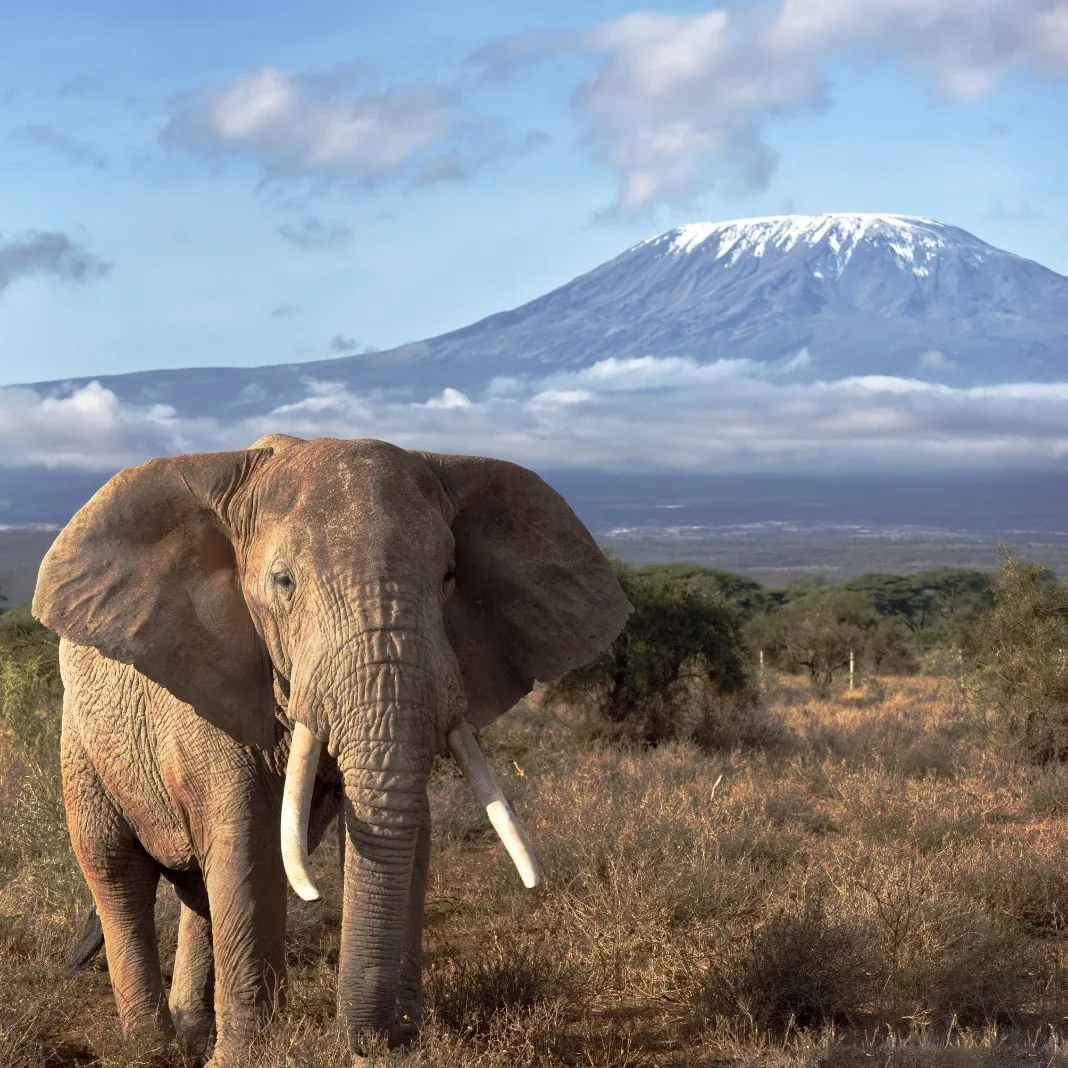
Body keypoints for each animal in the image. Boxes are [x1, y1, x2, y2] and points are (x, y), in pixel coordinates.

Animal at [32, 434, 631, 1065]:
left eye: (448, 576)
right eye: (283, 583)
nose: (363, 1043)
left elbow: (405, 831)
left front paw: (401, 1042)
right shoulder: (203, 681)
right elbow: (247, 840)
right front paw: (249, 1058)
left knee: (196, 886)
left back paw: (192, 1032)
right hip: (81, 740)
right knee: (116, 869)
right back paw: (152, 1047)